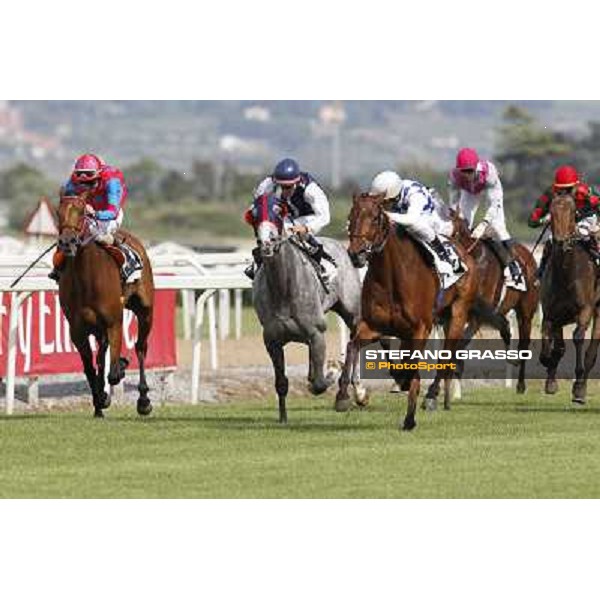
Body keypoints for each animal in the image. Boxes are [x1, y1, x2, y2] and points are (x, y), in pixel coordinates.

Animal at [56, 193, 155, 418]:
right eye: (58, 212)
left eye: (81, 212)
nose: (67, 242)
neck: (86, 276)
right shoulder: (78, 330)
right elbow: (91, 369)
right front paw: (99, 402)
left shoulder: (114, 323)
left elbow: (113, 373)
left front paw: (116, 375)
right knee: (102, 355)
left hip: (145, 311)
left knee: (140, 347)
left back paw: (143, 400)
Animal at [336, 193, 508, 432]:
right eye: (351, 217)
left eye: (376, 217)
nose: (356, 253)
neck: (391, 278)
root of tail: (464, 252)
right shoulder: (374, 326)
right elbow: (352, 346)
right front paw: (344, 396)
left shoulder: (420, 328)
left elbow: (413, 367)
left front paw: (409, 417)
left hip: (457, 315)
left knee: (447, 356)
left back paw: (433, 396)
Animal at [426, 211, 540, 398]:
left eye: (452, 234)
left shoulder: (476, 317)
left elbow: (457, 346)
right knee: (505, 330)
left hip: (526, 312)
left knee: (524, 343)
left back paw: (521, 384)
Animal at [540, 192, 600, 400]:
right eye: (551, 212)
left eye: (573, 211)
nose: (561, 242)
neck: (566, 274)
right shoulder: (551, 313)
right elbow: (552, 344)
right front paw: (550, 380)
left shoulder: (585, 309)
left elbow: (578, 337)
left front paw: (578, 384)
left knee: (592, 350)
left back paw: (581, 387)